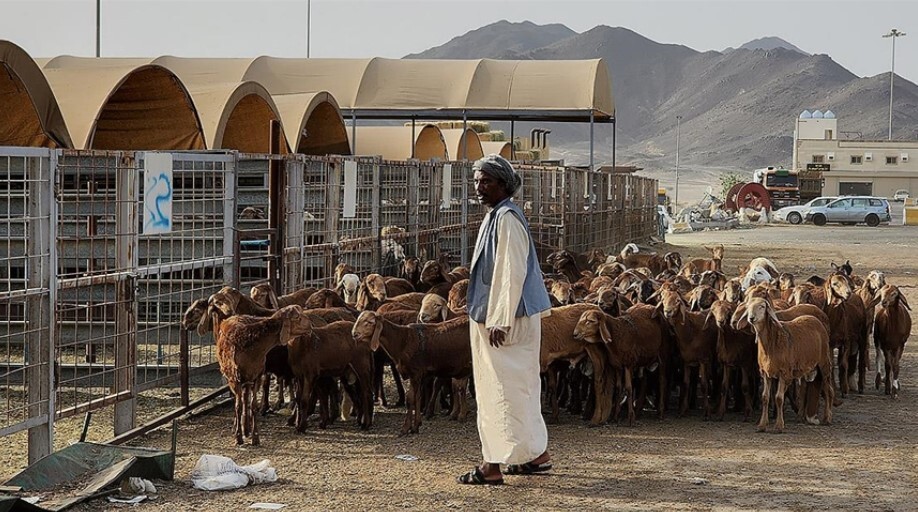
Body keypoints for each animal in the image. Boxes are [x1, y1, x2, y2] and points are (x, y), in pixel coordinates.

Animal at [736, 296, 836, 432]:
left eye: (762, 306)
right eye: (748, 307)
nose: (751, 318)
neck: (771, 343)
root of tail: (816, 319)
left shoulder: (784, 372)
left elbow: (779, 398)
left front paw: (779, 426)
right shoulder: (765, 373)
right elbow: (765, 397)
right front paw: (762, 425)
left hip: (824, 363)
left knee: (828, 390)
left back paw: (827, 418)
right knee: (805, 389)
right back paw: (801, 417)